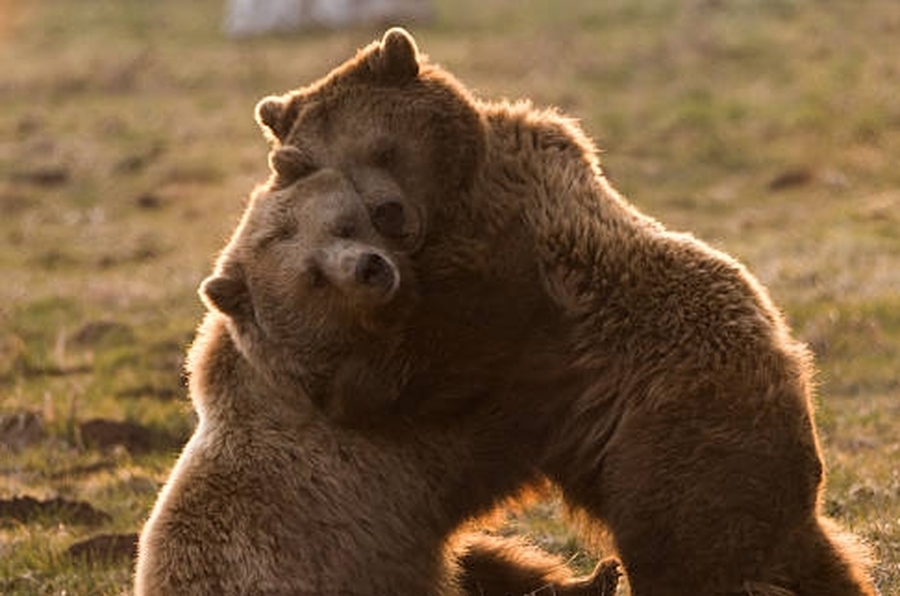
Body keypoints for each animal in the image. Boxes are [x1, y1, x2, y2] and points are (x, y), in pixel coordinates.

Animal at [135, 166, 620, 596]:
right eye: (313, 276)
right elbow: (490, 421)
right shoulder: (379, 448)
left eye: (345, 226)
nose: (369, 267)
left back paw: (597, 577)